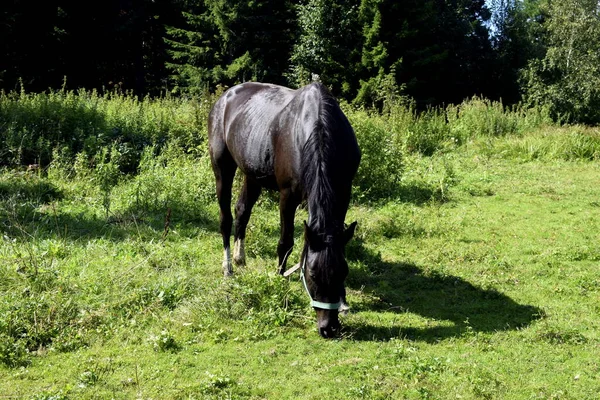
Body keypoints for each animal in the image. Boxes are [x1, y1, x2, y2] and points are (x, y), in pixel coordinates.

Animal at [209, 81, 360, 338]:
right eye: (312, 275)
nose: (328, 328)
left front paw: (344, 302)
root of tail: (225, 97)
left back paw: (240, 258)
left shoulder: (343, 193)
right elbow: (286, 241)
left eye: (344, 272)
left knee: (242, 211)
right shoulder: (287, 195)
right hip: (222, 169)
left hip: (252, 175)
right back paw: (228, 267)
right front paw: (280, 277)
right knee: (226, 219)